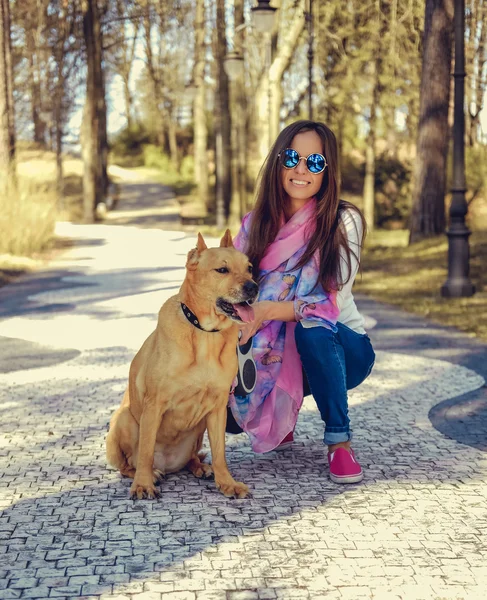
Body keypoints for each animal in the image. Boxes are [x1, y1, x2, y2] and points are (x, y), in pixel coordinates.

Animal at [106, 232, 260, 500]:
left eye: (249, 268)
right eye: (222, 270)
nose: (253, 287)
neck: (206, 334)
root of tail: (169, 464)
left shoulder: (218, 408)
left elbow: (220, 453)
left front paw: (227, 482)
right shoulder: (154, 404)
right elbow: (145, 451)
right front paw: (143, 484)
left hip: (199, 428)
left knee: (192, 458)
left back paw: (201, 468)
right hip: (124, 420)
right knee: (130, 464)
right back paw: (149, 474)